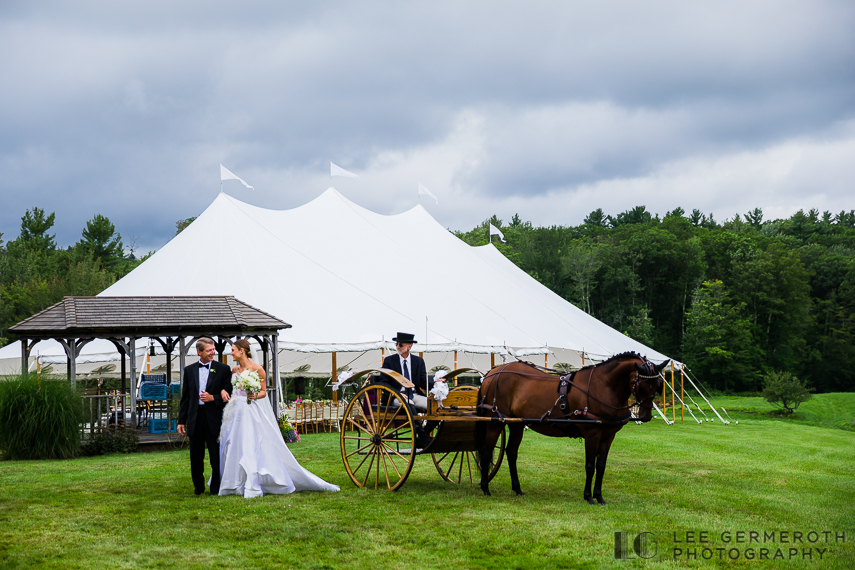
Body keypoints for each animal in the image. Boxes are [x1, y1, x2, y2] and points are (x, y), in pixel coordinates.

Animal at [478, 350, 664, 502]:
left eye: (657, 385)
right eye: (641, 384)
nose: (646, 416)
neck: (603, 387)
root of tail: (492, 373)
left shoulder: (608, 436)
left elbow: (601, 466)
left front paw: (599, 496)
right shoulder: (592, 434)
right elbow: (590, 466)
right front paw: (588, 497)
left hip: (517, 424)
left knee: (511, 452)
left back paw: (517, 489)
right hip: (495, 423)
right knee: (486, 452)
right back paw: (485, 487)